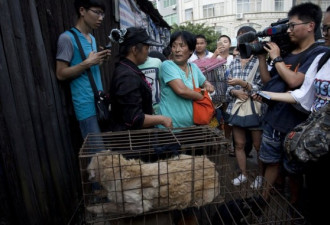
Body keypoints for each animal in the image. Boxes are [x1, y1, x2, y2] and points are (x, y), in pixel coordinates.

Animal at [85, 151, 219, 214]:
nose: (88, 177)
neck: (119, 172)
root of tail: (213, 167)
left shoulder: (139, 205)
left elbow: (113, 206)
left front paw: (94, 208)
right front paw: (99, 192)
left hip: (203, 196)